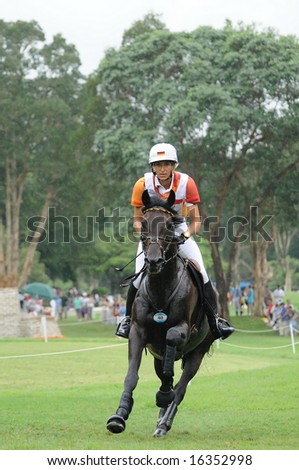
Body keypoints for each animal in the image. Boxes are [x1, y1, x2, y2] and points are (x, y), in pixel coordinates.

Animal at [106, 188, 217, 436]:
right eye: (145, 223)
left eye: (168, 225)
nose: (154, 261)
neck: (161, 288)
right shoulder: (138, 332)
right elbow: (132, 376)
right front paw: (119, 416)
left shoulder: (183, 329)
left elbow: (172, 338)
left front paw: (164, 397)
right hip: (157, 352)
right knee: (166, 372)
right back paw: (160, 417)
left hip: (198, 351)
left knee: (181, 386)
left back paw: (164, 422)